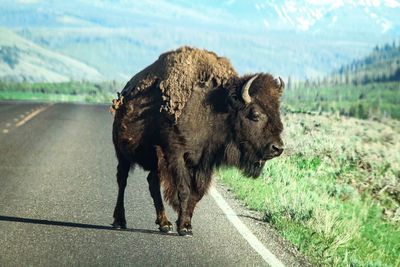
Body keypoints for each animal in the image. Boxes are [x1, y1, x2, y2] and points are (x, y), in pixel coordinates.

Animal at [111, 46, 282, 237]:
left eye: (278, 112)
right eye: (255, 114)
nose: (277, 148)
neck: (215, 110)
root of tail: (124, 96)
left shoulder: (205, 162)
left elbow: (196, 194)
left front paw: (186, 224)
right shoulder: (176, 154)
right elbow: (184, 190)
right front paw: (183, 228)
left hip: (155, 160)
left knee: (152, 182)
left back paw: (164, 224)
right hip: (122, 154)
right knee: (122, 180)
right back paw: (119, 221)